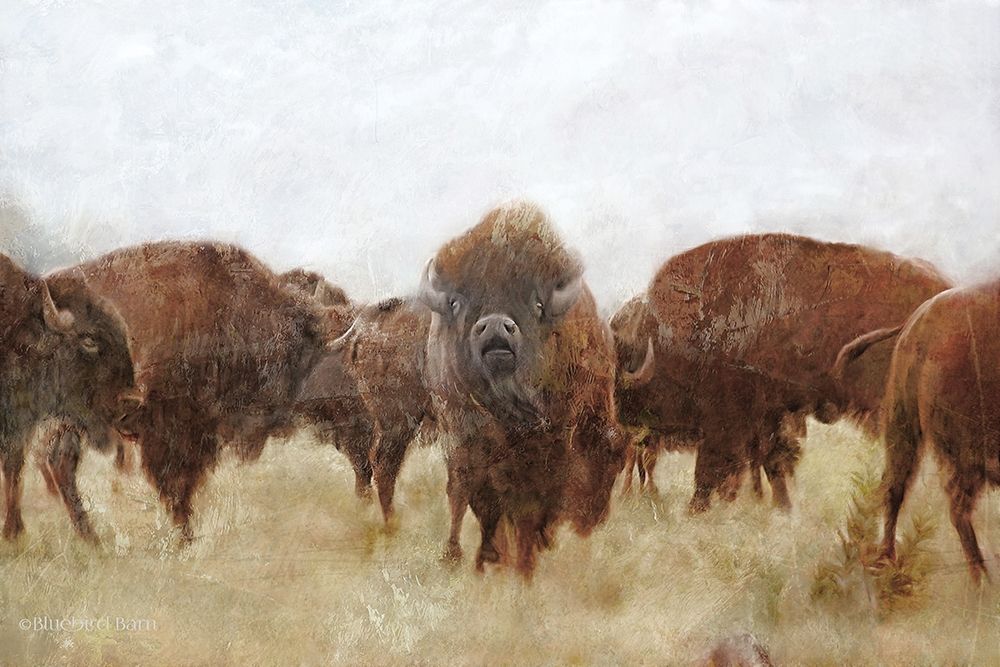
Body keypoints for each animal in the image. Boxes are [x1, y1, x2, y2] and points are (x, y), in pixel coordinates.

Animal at [614, 234, 951, 512]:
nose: (619, 418)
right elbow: (771, 463)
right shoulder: (766, 419)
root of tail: (946, 289)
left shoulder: (726, 420)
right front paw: (781, 509)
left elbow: (712, 469)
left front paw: (697, 510)